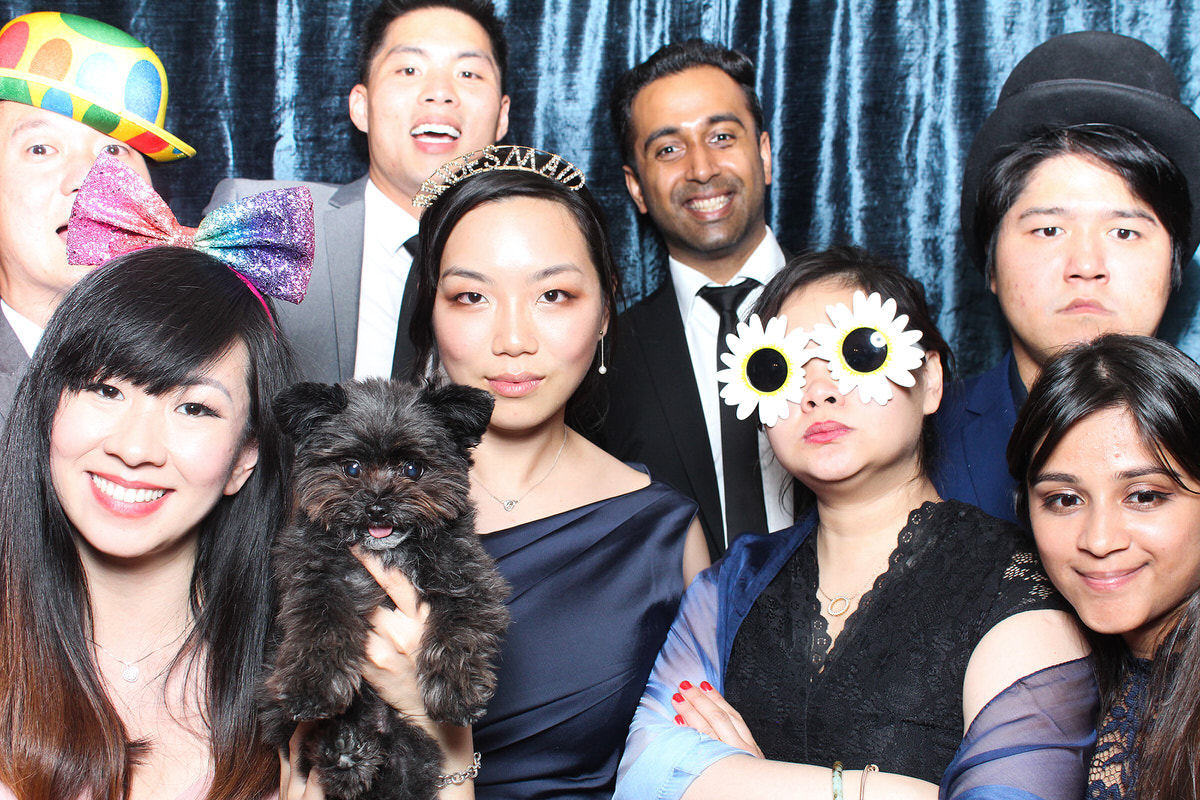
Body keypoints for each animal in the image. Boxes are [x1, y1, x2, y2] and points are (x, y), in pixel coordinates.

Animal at [265, 381, 508, 800]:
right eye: (351, 467)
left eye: (413, 468)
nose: (378, 506)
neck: (392, 553)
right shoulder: (314, 579)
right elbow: (320, 628)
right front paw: (313, 685)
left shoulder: (469, 581)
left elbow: (458, 634)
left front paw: (456, 691)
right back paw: (343, 751)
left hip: (411, 753)